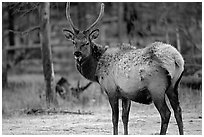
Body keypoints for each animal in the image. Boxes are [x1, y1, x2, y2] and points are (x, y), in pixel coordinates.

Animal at [62, 2, 185, 135]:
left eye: (86, 43)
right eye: (73, 42)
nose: (77, 53)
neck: (96, 70)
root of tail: (176, 58)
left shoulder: (111, 90)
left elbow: (114, 118)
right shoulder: (126, 94)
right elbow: (125, 117)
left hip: (157, 88)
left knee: (166, 113)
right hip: (174, 86)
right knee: (178, 111)